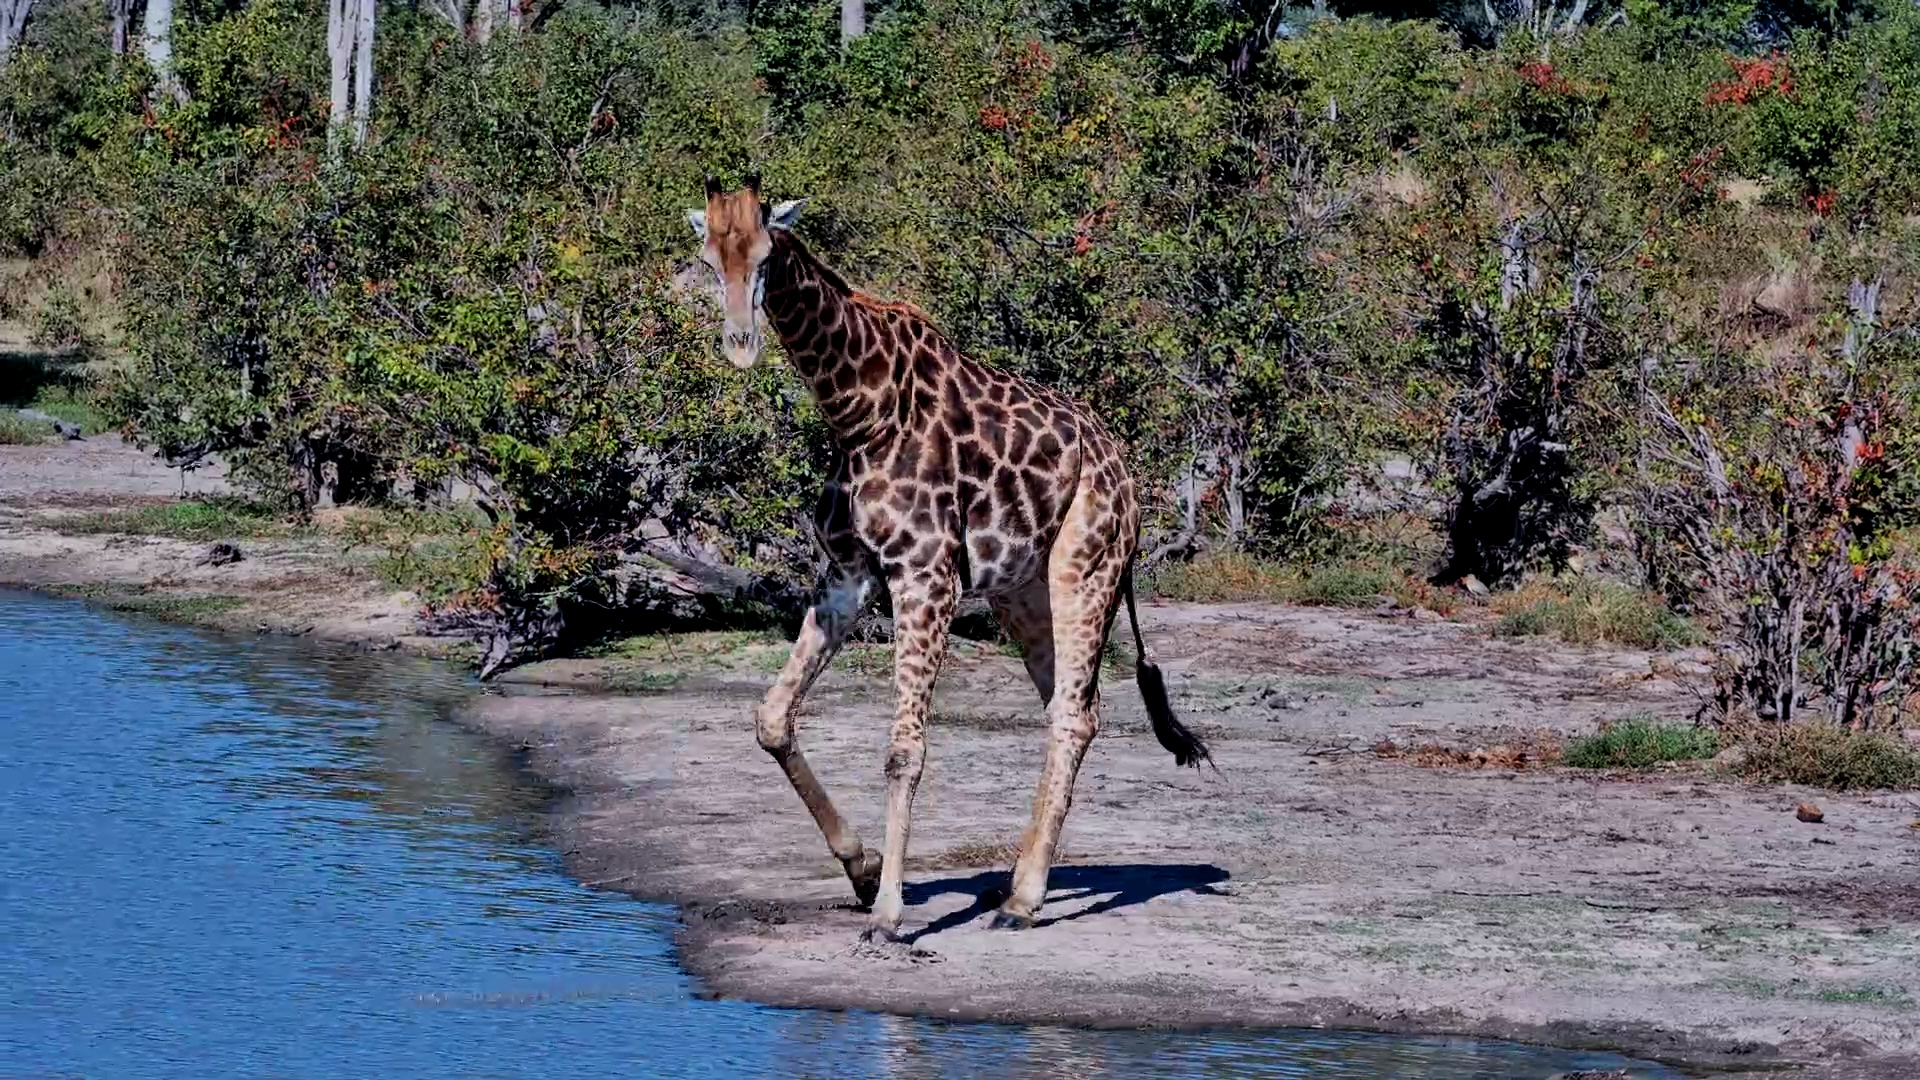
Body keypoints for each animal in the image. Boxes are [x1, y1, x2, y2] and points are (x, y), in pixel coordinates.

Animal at [687, 177, 1209, 942]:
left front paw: (888, 913)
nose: (740, 344)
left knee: (1070, 713)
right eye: (706, 260)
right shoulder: (848, 573)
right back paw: (1015, 888)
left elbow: (905, 749)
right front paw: (863, 869)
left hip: (1086, 568)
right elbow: (773, 717)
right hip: (1020, 591)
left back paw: (1024, 902)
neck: (857, 411)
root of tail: (1127, 472)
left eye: (765, 258)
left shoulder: (925, 573)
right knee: (1073, 710)